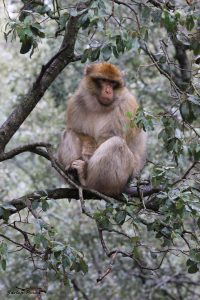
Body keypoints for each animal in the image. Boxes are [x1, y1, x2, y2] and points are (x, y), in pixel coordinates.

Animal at [57, 62, 146, 196]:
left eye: (113, 83)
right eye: (103, 80)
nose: (108, 90)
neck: (99, 106)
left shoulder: (127, 106)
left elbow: (108, 137)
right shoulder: (76, 102)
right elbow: (78, 131)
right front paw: (88, 147)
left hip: (122, 179)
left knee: (116, 143)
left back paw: (86, 178)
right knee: (68, 133)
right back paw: (74, 176)